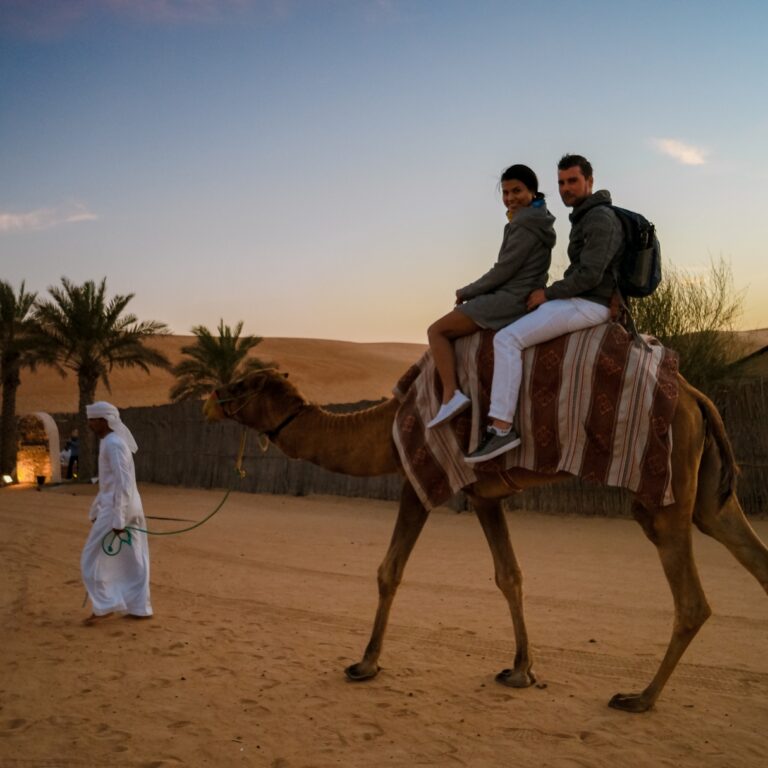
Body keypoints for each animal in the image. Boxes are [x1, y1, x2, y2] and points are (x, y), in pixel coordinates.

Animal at [204, 368, 768, 712]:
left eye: (244, 384)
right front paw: (521, 670)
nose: (212, 397)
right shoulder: (484, 496)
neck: (385, 428)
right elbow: (509, 575)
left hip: (665, 490)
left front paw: (365, 664)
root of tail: (698, 397)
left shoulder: (418, 480)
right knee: (751, 553)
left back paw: (639, 698)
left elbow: (389, 570)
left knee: (692, 600)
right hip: (707, 492)